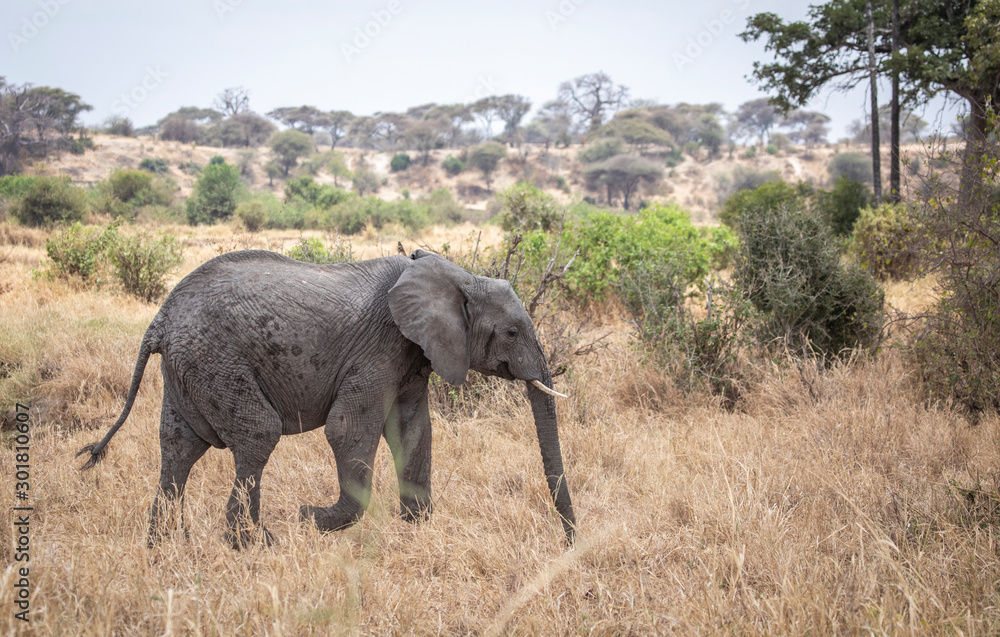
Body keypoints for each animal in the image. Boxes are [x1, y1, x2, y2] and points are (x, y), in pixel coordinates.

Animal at [78, 249, 575, 548]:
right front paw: (309, 518)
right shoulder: (379, 348)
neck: (457, 276)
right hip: (215, 360)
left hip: (188, 367)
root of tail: (160, 319)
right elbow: (349, 429)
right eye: (511, 333)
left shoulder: (413, 353)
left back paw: (163, 546)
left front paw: (415, 528)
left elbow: (414, 430)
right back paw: (256, 544)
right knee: (257, 435)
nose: (569, 543)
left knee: (179, 445)